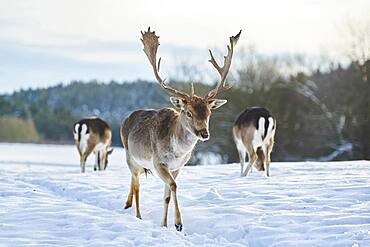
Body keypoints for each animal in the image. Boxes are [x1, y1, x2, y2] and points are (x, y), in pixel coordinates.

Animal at [119, 27, 240, 232]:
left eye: (209, 112)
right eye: (188, 112)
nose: (204, 133)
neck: (177, 152)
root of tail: (126, 119)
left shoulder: (178, 167)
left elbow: (167, 194)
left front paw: (164, 224)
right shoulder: (159, 163)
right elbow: (174, 186)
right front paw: (178, 223)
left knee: (136, 182)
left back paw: (128, 206)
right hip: (131, 157)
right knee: (136, 185)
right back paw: (137, 215)